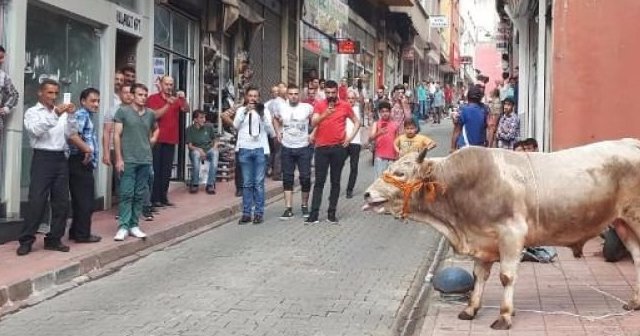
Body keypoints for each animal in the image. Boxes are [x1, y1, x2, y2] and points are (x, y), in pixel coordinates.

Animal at [362, 138, 640, 328]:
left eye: (400, 173)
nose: (366, 194)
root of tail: (632, 142)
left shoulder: (511, 234)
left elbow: (506, 277)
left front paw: (505, 316)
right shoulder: (483, 241)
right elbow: (479, 276)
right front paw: (471, 309)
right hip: (622, 223)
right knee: (637, 258)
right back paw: (634, 302)